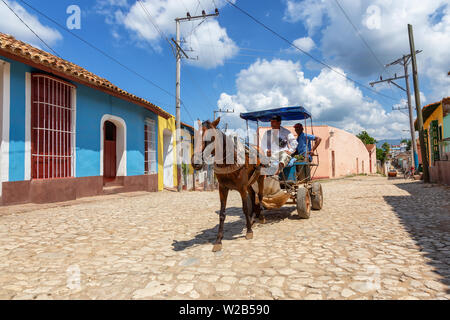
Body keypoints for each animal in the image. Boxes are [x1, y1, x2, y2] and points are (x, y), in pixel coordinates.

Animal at [191, 117, 268, 252]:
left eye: (211, 138)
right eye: (195, 137)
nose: (196, 163)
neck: (229, 161)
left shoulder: (241, 188)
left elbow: (245, 208)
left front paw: (249, 231)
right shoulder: (222, 188)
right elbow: (222, 214)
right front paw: (218, 240)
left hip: (260, 178)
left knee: (260, 196)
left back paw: (261, 217)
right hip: (249, 183)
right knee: (252, 195)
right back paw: (252, 219)